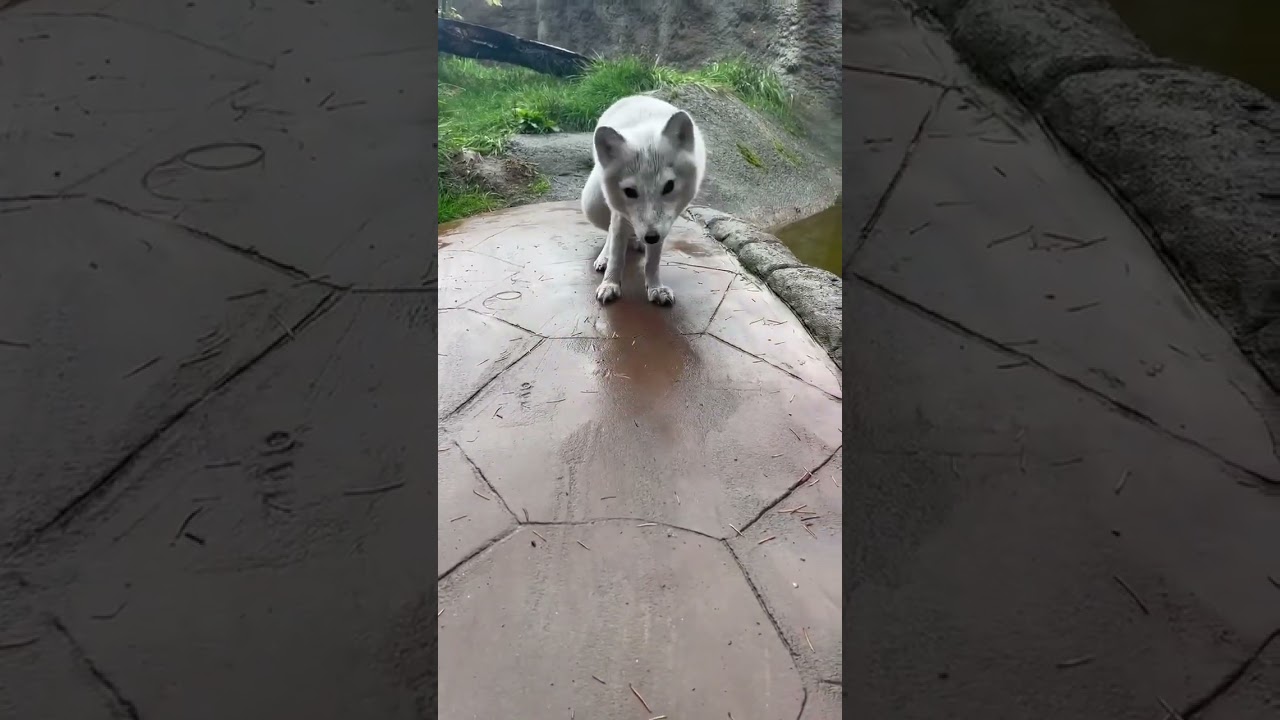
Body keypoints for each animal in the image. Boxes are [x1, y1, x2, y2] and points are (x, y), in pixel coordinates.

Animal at [580, 95, 707, 306]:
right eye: (630, 191)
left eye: (669, 186)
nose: (651, 237)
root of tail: (637, 96)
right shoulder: (620, 213)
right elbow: (616, 254)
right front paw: (610, 284)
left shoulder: (662, 225)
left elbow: (652, 261)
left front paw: (656, 288)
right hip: (593, 204)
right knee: (610, 233)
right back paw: (605, 256)